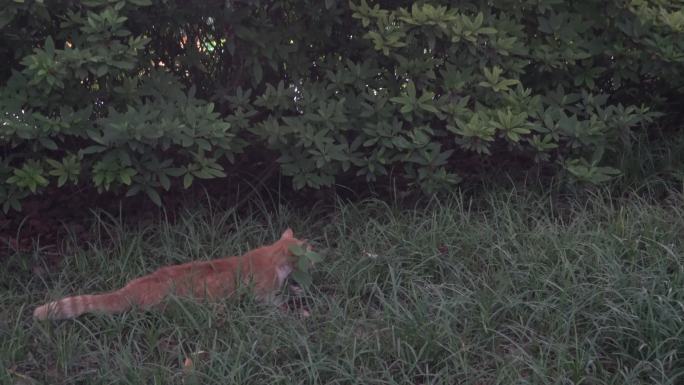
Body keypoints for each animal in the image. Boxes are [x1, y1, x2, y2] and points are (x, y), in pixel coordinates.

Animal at [34, 228, 308, 318]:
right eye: (309, 246)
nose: (314, 247)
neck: (273, 257)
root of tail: (132, 287)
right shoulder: (263, 295)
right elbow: (277, 303)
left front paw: (296, 289)